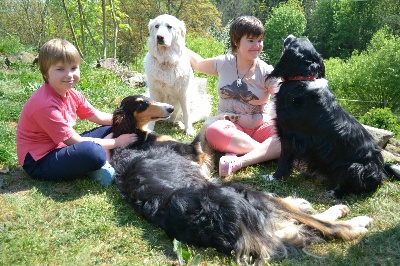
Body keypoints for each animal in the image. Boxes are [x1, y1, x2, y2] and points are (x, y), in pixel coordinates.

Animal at [108, 95, 372, 264]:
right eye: (142, 103)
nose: (170, 108)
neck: (130, 135)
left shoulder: (200, 159)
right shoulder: (196, 152)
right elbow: (207, 124)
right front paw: (228, 115)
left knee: (296, 223)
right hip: (247, 192)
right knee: (327, 227)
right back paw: (354, 221)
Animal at [266, 34, 400, 197]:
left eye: (294, 40)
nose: (290, 35)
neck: (303, 79)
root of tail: (381, 171)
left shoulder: (288, 135)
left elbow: (284, 159)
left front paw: (274, 177)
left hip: (355, 168)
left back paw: (335, 193)